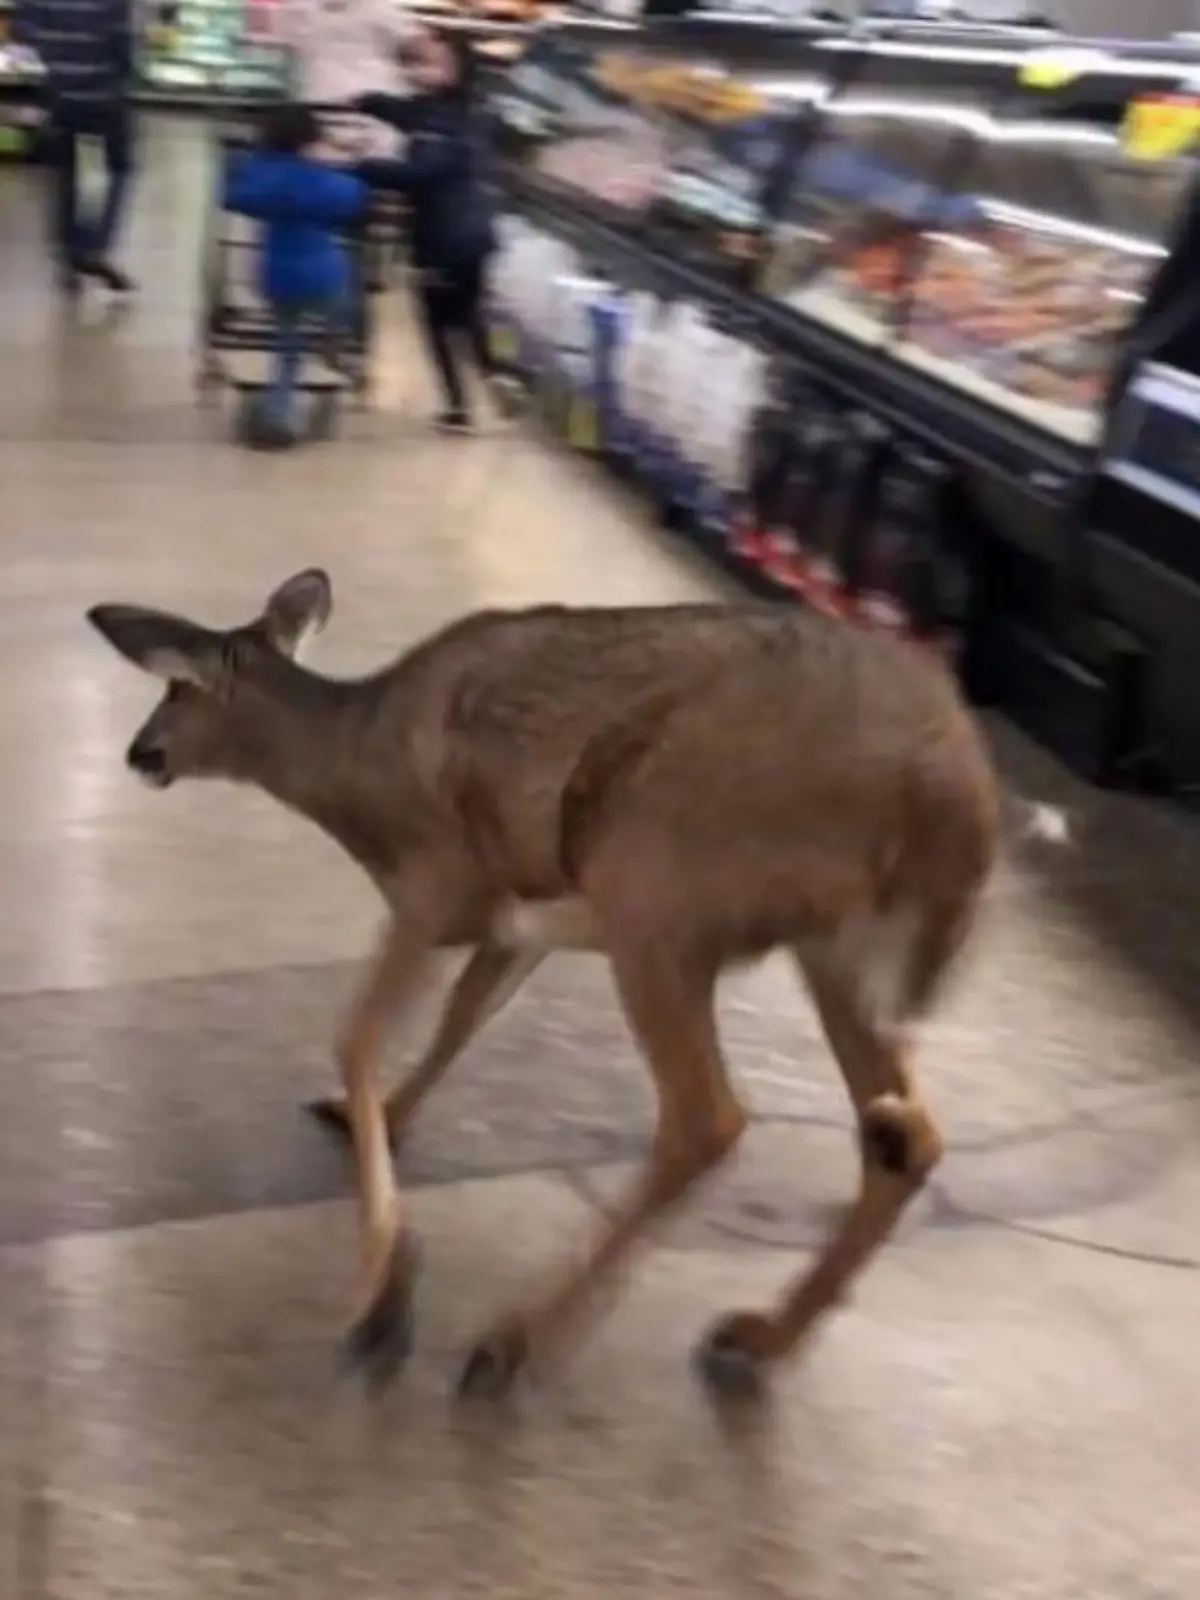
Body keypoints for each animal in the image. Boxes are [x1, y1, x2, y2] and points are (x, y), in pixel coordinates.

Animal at [87, 567, 1001, 1400]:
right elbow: (461, 1017)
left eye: (177, 686)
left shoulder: (439, 884)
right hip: (829, 952)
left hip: (659, 892)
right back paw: (757, 1337)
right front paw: (374, 1119)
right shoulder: (521, 920)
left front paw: (383, 1292)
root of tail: (950, 799)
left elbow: (357, 1034)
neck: (359, 773)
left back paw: (511, 1343)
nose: (139, 752)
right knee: (907, 1137)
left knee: (707, 1121)